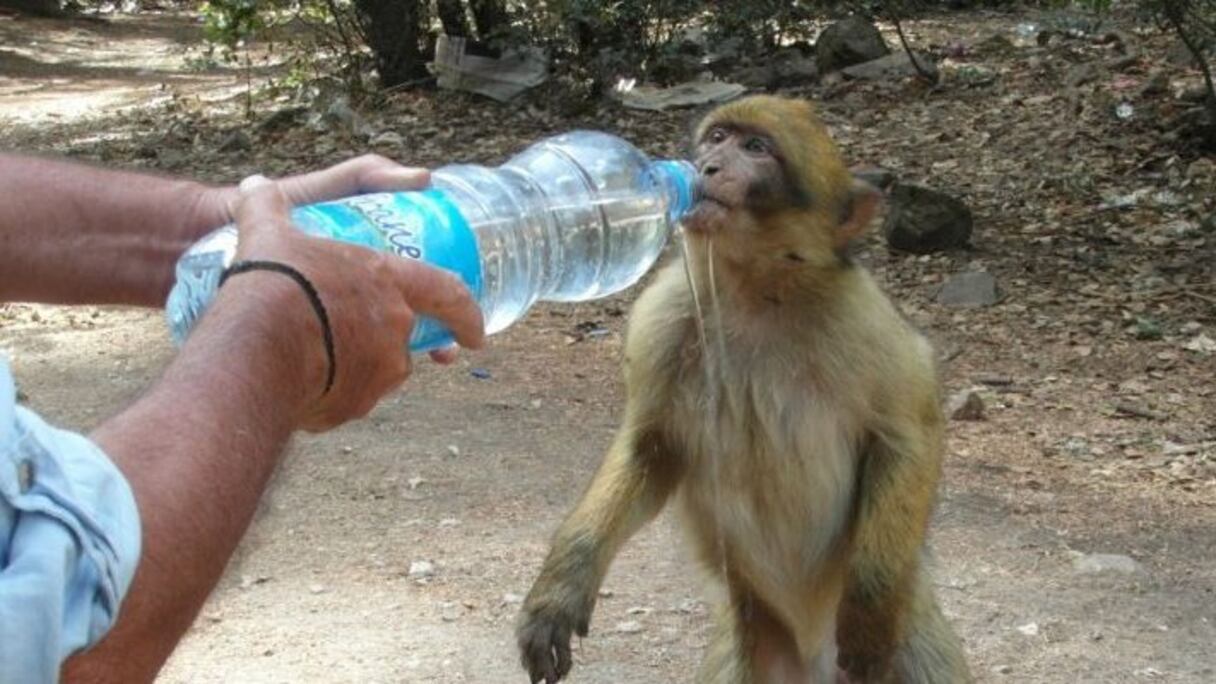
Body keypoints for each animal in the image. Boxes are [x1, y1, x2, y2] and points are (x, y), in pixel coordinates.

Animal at [515, 95, 972, 684]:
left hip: (911, 629)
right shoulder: (661, 319)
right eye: (717, 138)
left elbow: (908, 437)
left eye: (756, 148)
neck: (755, 290)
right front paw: (561, 589)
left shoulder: (860, 317)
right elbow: (649, 447)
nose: (708, 167)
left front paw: (869, 613)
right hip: (750, 642)